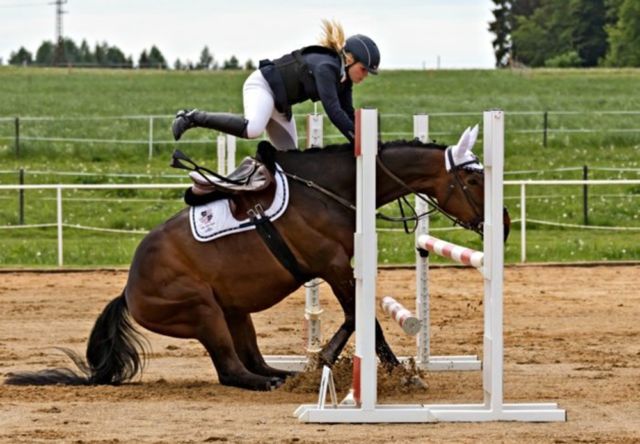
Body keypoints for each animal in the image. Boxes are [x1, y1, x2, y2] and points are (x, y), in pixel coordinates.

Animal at [2, 134, 508, 388]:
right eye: (474, 181)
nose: (503, 224)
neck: (332, 188)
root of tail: (127, 291)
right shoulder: (333, 267)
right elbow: (363, 321)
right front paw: (398, 374)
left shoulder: (338, 269)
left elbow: (356, 321)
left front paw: (327, 360)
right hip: (202, 311)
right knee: (232, 371)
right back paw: (273, 383)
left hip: (234, 312)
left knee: (255, 360)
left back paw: (285, 374)